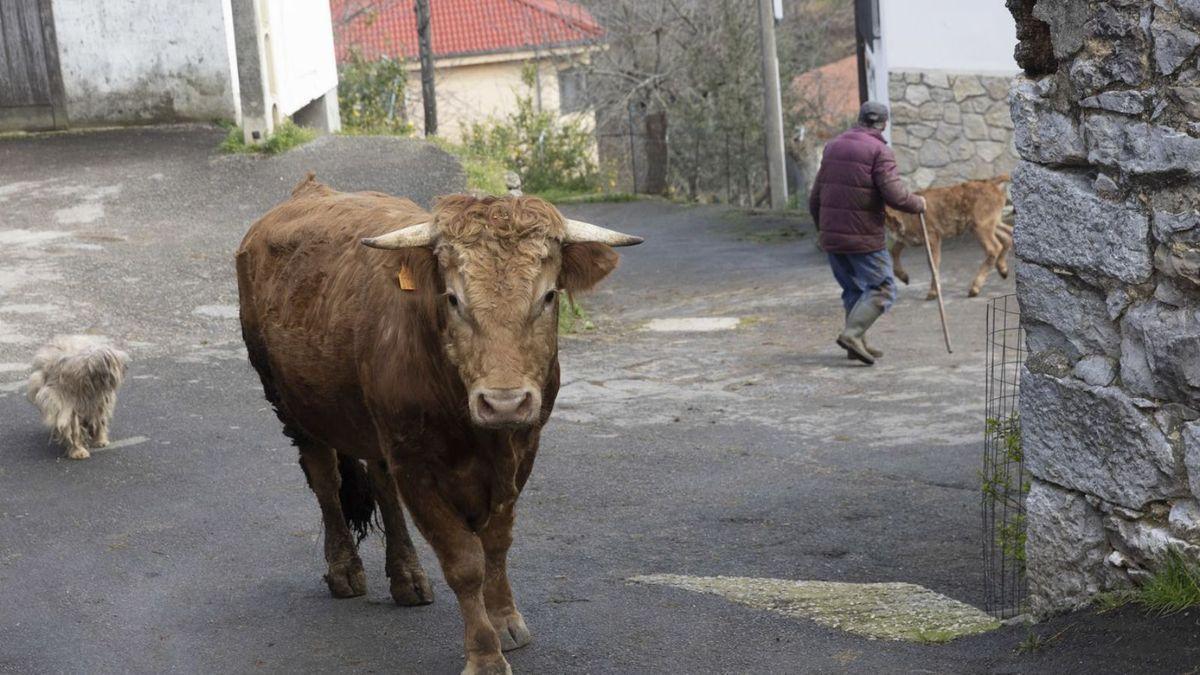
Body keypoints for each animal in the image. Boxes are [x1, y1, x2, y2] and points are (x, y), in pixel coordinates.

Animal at [236, 174, 648, 672]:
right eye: (453, 298)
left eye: (548, 296)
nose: (504, 403)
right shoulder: (416, 464)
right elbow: (464, 561)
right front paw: (485, 654)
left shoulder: (522, 450)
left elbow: (496, 543)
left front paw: (506, 621)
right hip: (292, 406)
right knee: (326, 482)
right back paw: (344, 569)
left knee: (381, 486)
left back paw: (407, 578)